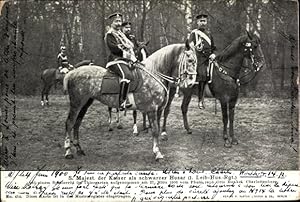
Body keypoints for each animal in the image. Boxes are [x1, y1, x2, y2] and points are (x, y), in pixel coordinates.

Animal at [62, 41, 197, 160]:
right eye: (190, 60)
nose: (191, 82)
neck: (155, 73)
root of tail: (72, 72)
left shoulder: (158, 110)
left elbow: (157, 129)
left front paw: (157, 148)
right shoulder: (152, 109)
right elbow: (154, 130)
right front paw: (157, 153)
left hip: (85, 103)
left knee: (77, 123)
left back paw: (79, 149)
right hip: (76, 103)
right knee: (69, 123)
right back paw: (68, 152)